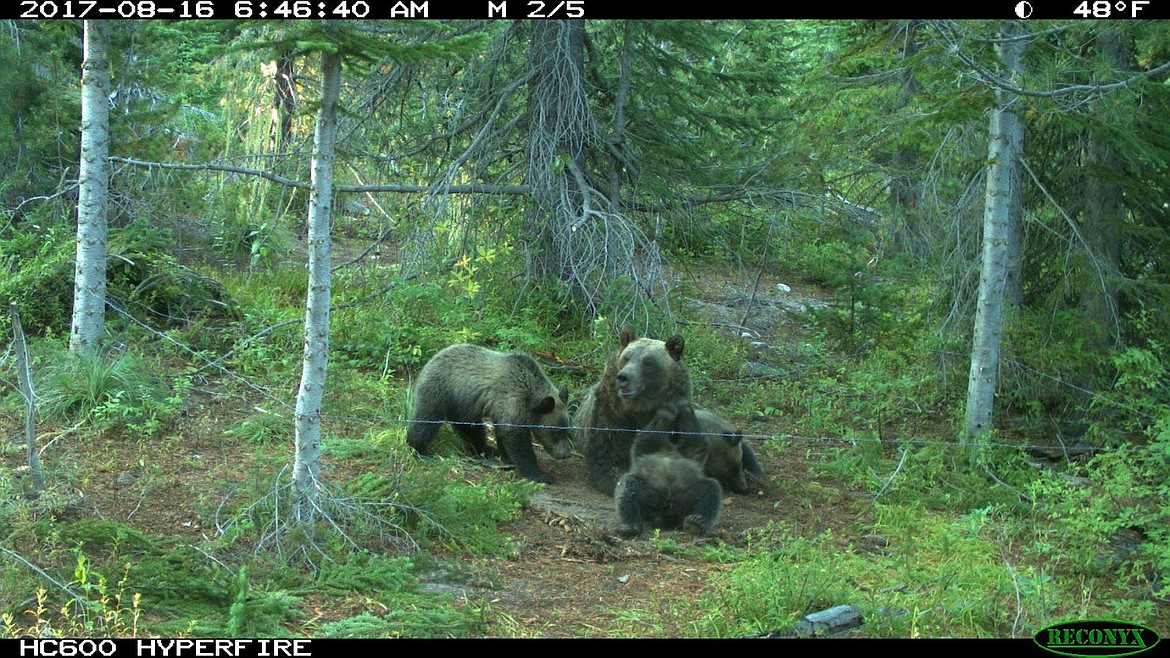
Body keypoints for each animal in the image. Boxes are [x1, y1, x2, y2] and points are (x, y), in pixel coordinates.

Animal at [404, 344, 573, 482]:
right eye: (555, 432)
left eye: (568, 431)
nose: (566, 454)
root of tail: (431, 360)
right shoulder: (511, 398)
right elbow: (514, 436)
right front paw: (540, 474)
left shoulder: (503, 407)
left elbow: (503, 433)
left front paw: (506, 457)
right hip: (441, 390)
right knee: (427, 418)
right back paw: (418, 449)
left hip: (463, 404)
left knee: (471, 428)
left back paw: (485, 449)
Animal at [575, 325, 692, 494]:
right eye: (627, 357)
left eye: (648, 362)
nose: (623, 377)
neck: (641, 410)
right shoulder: (610, 412)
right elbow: (608, 456)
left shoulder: (675, 418)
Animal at [613, 400, 720, 533]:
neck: (670, 448)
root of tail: (667, 513)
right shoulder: (649, 448)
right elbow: (647, 437)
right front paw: (667, 413)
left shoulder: (690, 452)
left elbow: (697, 442)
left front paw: (685, 409)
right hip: (651, 499)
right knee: (630, 485)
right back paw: (631, 525)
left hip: (685, 499)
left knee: (710, 489)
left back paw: (696, 522)